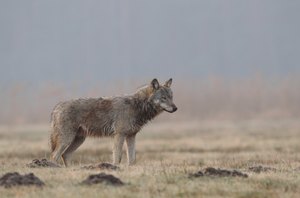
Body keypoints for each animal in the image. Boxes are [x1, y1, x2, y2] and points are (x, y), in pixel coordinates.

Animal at [48, 78, 176, 166]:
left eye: (171, 97)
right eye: (163, 98)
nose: (175, 108)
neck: (137, 105)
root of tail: (56, 107)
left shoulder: (131, 136)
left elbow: (132, 159)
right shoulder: (119, 135)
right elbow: (118, 157)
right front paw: (115, 168)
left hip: (78, 140)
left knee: (65, 155)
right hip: (67, 140)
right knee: (54, 156)